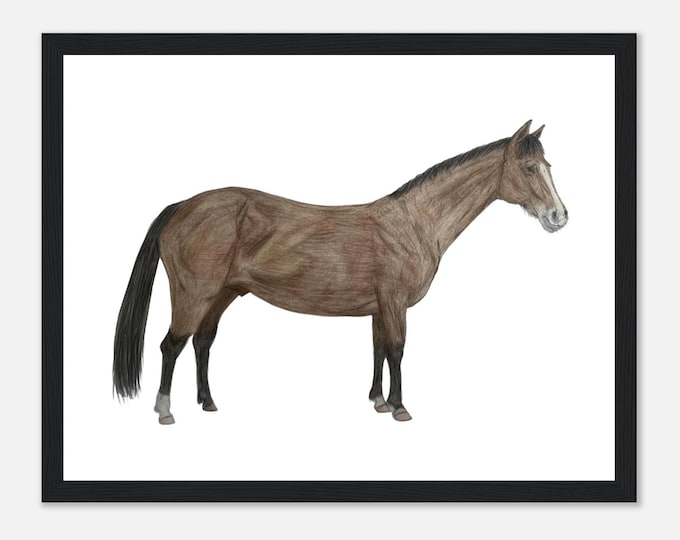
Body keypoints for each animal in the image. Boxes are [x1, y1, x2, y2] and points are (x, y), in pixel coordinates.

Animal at [113, 120, 568, 424]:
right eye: (529, 168)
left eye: (548, 165)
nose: (559, 216)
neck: (414, 222)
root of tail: (182, 206)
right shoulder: (394, 302)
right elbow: (397, 349)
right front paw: (400, 408)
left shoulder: (380, 306)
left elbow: (378, 348)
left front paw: (378, 400)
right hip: (194, 293)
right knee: (171, 345)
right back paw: (165, 410)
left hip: (221, 294)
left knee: (203, 343)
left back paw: (208, 402)